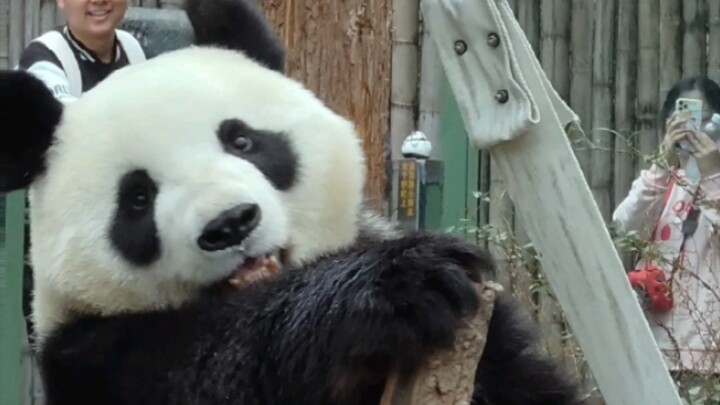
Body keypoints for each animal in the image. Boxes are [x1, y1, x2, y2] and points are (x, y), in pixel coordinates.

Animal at [0, 0, 587, 404]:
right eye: (138, 197)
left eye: (242, 141)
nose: (230, 224)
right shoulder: (100, 357)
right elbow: (218, 361)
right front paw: (396, 287)